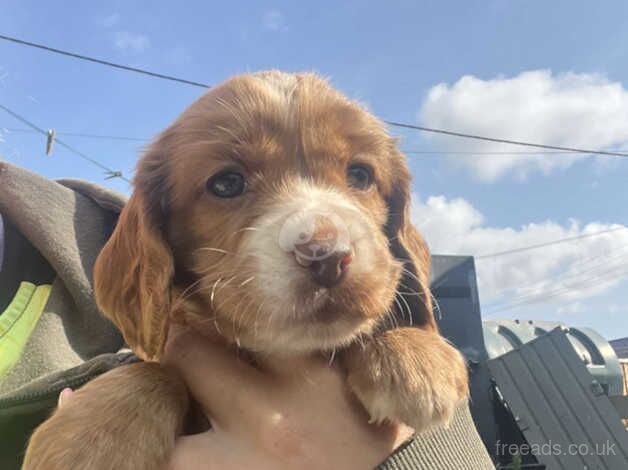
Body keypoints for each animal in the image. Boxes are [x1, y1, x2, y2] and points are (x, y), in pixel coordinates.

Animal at [23, 70, 466, 470]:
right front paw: (91, 437)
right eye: (226, 183)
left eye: (360, 174)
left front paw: (416, 355)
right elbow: (157, 370)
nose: (326, 255)